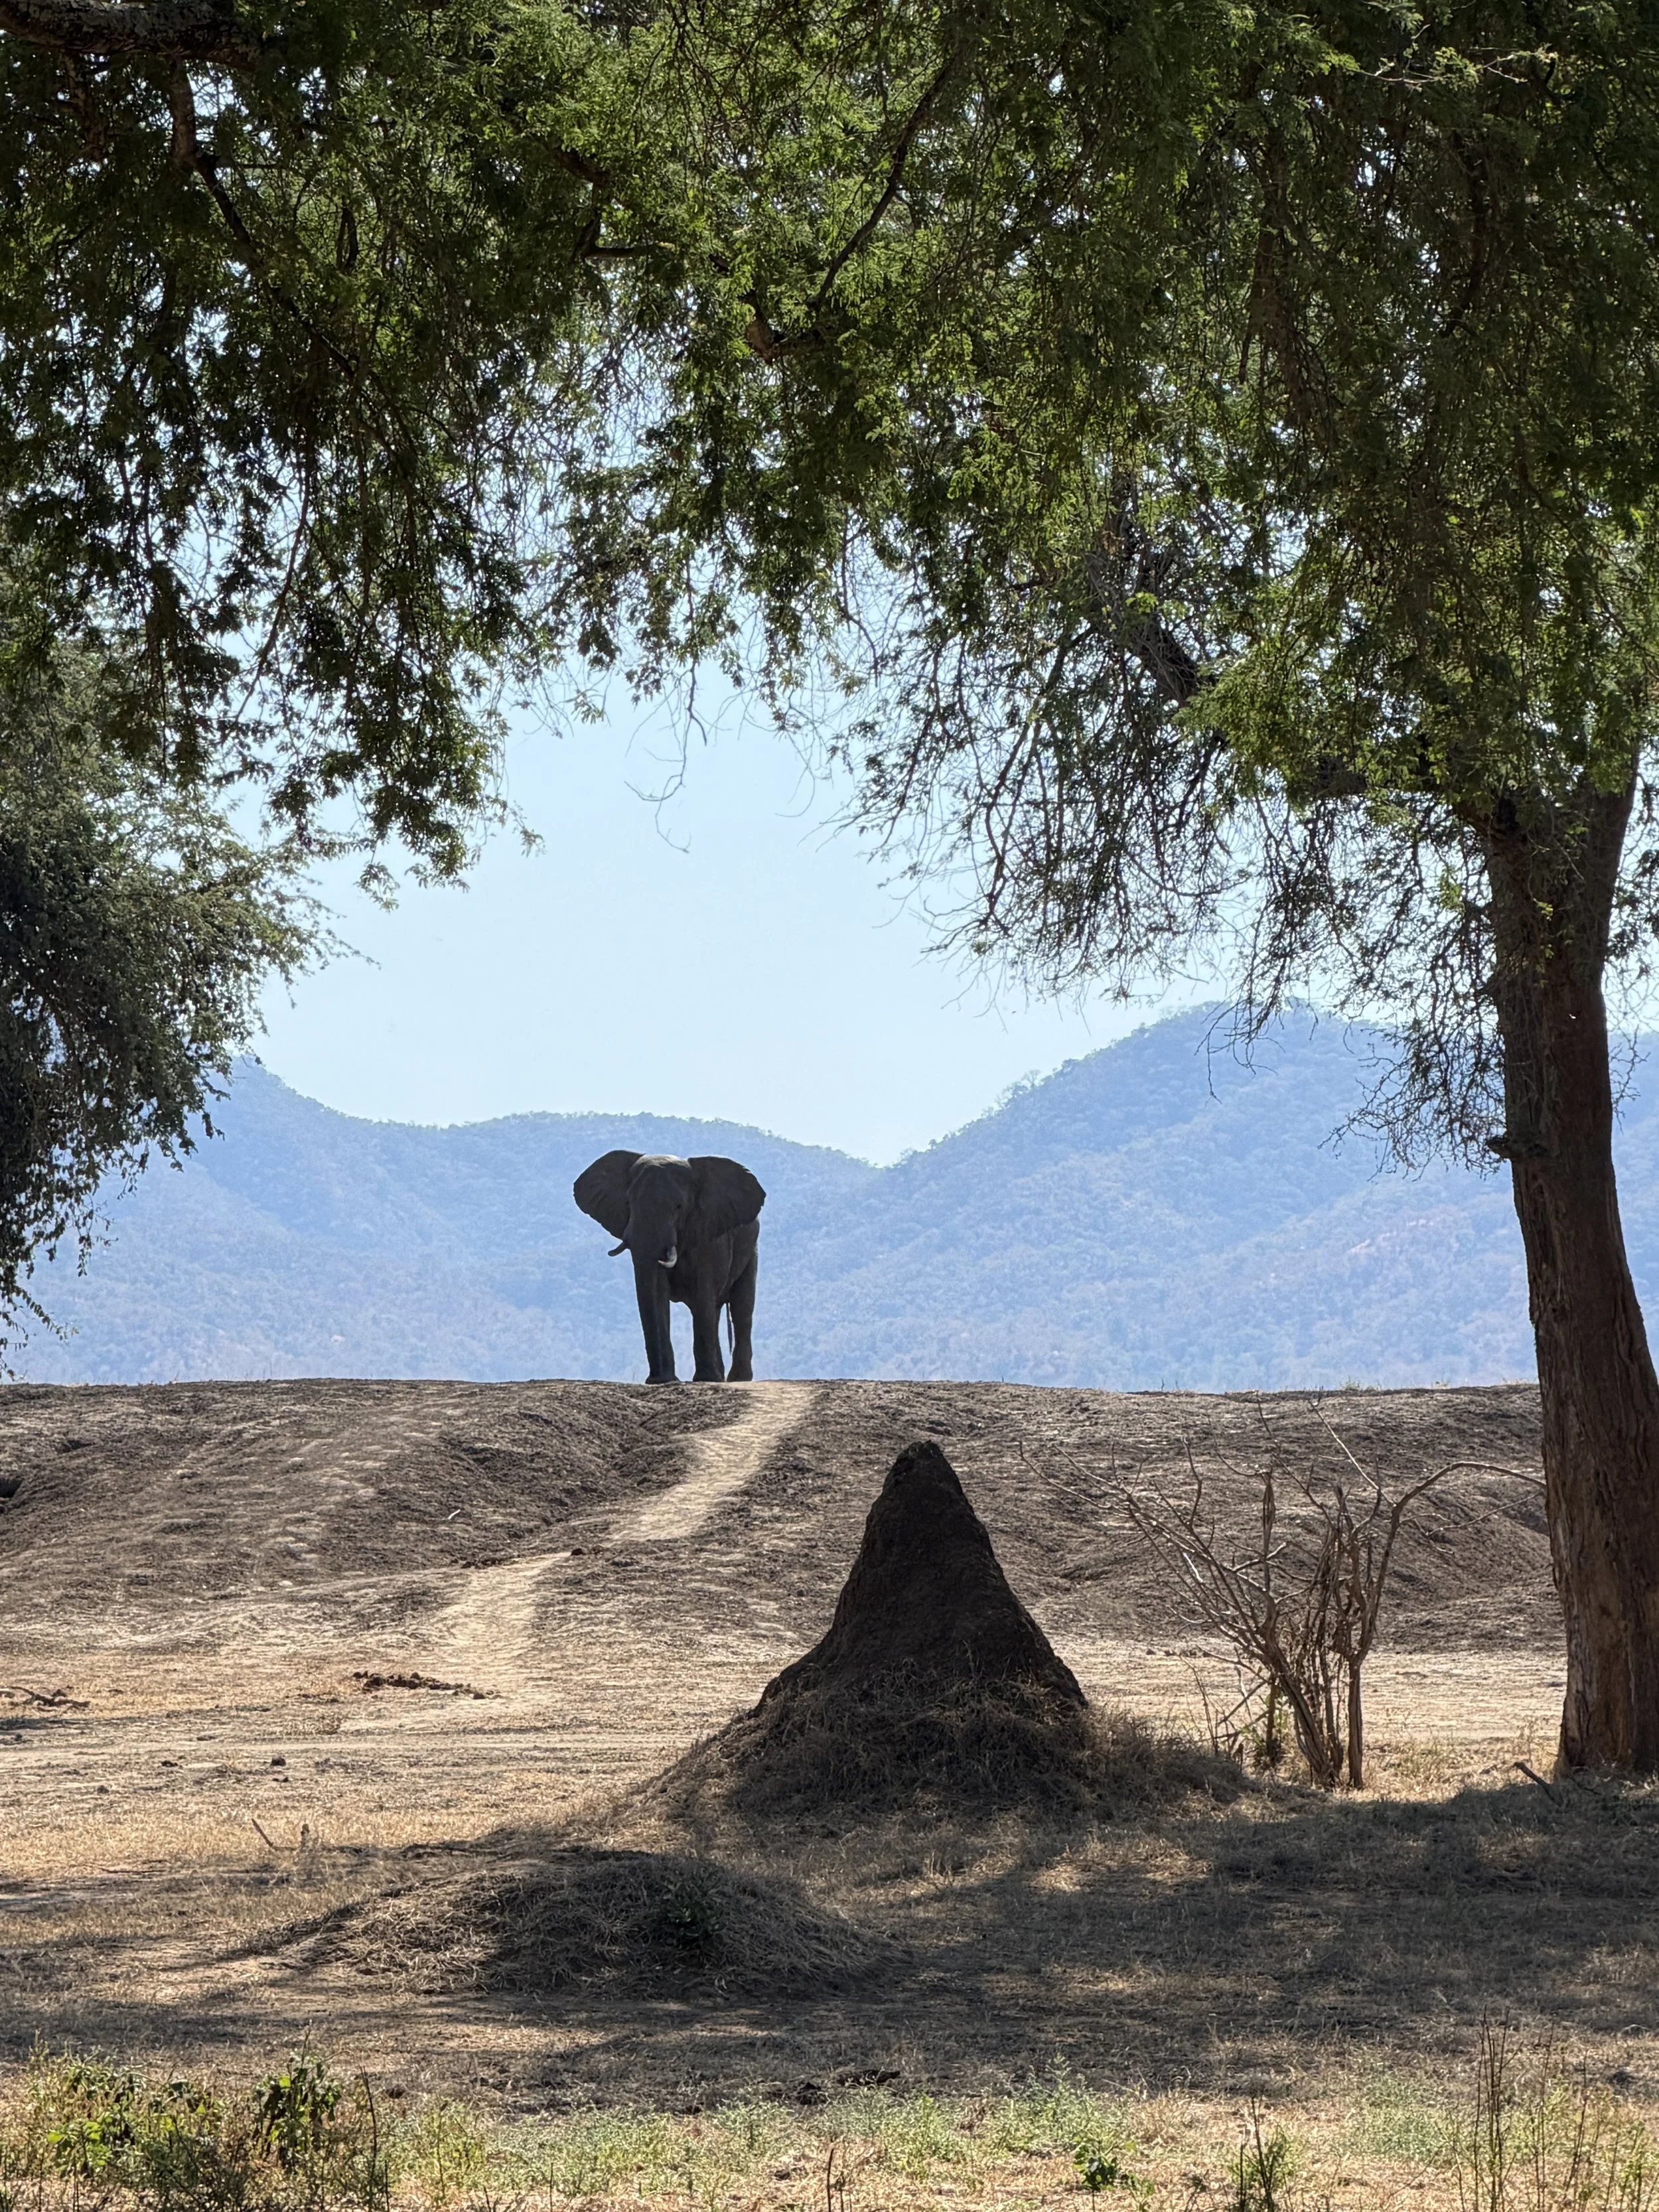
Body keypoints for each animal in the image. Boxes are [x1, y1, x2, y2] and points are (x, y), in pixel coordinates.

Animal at [574, 1150, 765, 1384]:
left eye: (679, 1207)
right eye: (629, 1203)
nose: (654, 1378)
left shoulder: (708, 1236)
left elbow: (702, 1294)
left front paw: (704, 1378)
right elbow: (659, 1293)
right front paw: (663, 1380)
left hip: (751, 1249)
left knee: (741, 1308)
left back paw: (736, 1379)